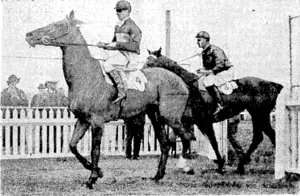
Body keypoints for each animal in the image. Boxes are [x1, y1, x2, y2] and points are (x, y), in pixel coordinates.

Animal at [25, 11, 199, 188]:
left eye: (57, 25)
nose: (29, 35)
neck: (86, 74)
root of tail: (181, 81)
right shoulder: (83, 120)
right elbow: (72, 146)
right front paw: (97, 170)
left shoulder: (97, 122)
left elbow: (95, 150)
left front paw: (93, 177)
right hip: (156, 116)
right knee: (166, 143)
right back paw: (158, 175)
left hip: (171, 117)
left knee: (186, 137)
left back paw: (187, 167)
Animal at [144, 47, 282, 175]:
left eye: (150, 62)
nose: (142, 73)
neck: (189, 89)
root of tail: (272, 84)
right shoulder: (188, 122)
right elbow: (181, 139)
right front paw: (184, 165)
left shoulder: (204, 122)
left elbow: (212, 141)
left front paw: (220, 165)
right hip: (258, 115)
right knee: (262, 136)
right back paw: (242, 165)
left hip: (260, 114)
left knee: (265, 136)